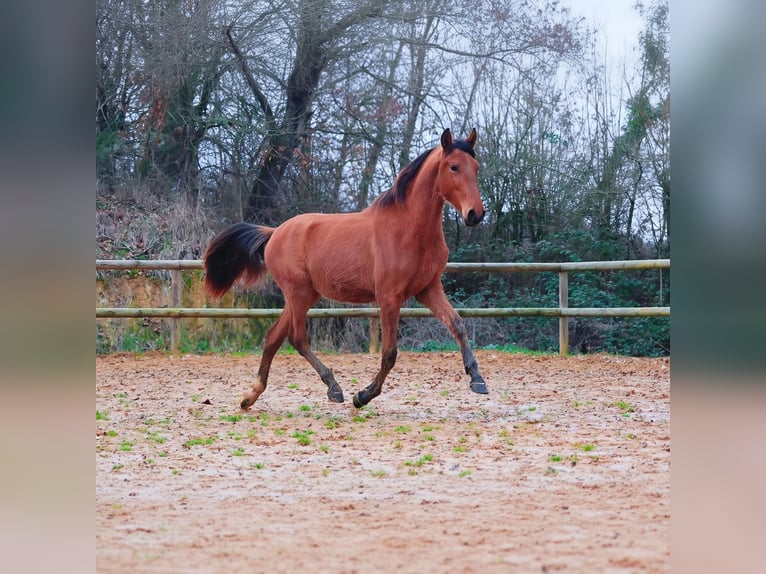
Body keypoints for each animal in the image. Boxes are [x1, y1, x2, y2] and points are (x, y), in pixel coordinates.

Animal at [204, 128, 489, 409]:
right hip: (298, 293)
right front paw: (363, 396)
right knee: (297, 338)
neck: (409, 229)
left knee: (274, 337)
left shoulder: (428, 289)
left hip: (305, 295)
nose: (475, 214)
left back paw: (250, 396)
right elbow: (390, 353)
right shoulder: (389, 297)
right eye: (453, 166)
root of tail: (274, 232)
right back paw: (334, 388)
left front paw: (477, 379)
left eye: (475, 167)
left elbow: (457, 324)